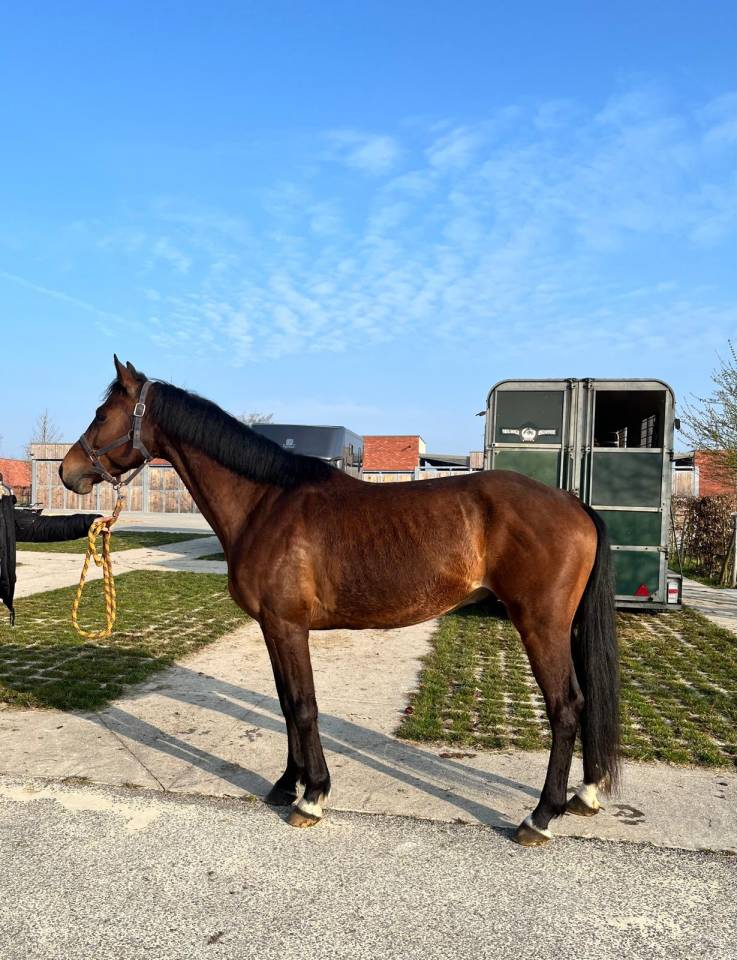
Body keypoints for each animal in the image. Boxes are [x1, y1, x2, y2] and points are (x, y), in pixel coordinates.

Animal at [60, 356, 620, 845]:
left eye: (102, 414)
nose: (68, 472)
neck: (266, 503)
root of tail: (573, 504)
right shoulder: (272, 627)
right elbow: (286, 704)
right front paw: (286, 784)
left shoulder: (288, 625)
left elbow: (304, 706)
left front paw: (312, 797)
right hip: (564, 626)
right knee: (588, 699)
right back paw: (585, 796)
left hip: (539, 624)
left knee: (566, 706)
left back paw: (540, 817)